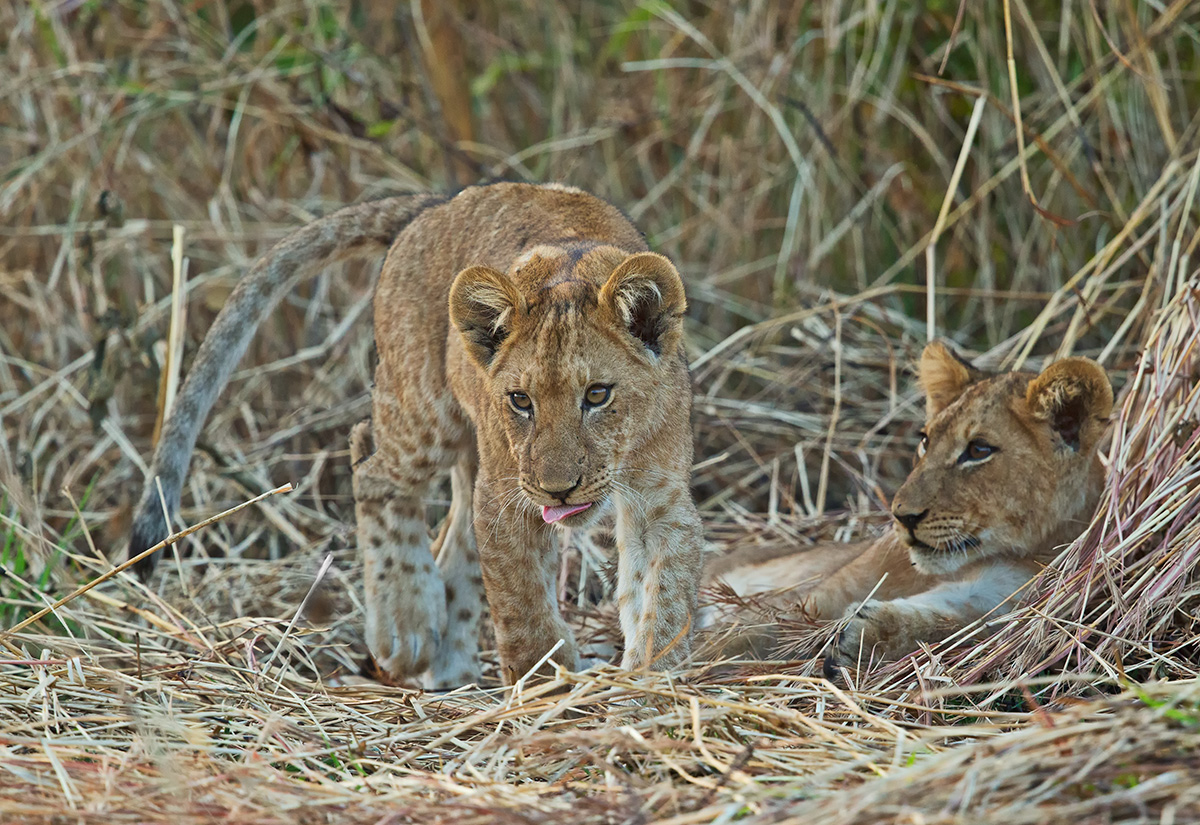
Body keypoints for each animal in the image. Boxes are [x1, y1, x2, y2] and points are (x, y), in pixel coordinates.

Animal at [127, 182, 704, 689]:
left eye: (598, 395)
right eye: (521, 400)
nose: (557, 489)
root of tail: (432, 208)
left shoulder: (661, 497)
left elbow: (665, 590)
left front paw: (654, 674)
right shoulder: (507, 494)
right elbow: (521, 602)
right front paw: (547, 682)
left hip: (470, 451)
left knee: (453, 546)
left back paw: (448, 665)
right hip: (427, 416)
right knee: (369, 463)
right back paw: (405, 632)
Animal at [703, 341, 1113, 671]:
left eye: (979, 450)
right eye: (925, 441)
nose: (903, 516)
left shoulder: (1003, 599)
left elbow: (948, 626)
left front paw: (866, 635)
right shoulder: (824, 593)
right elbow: (753, 629)